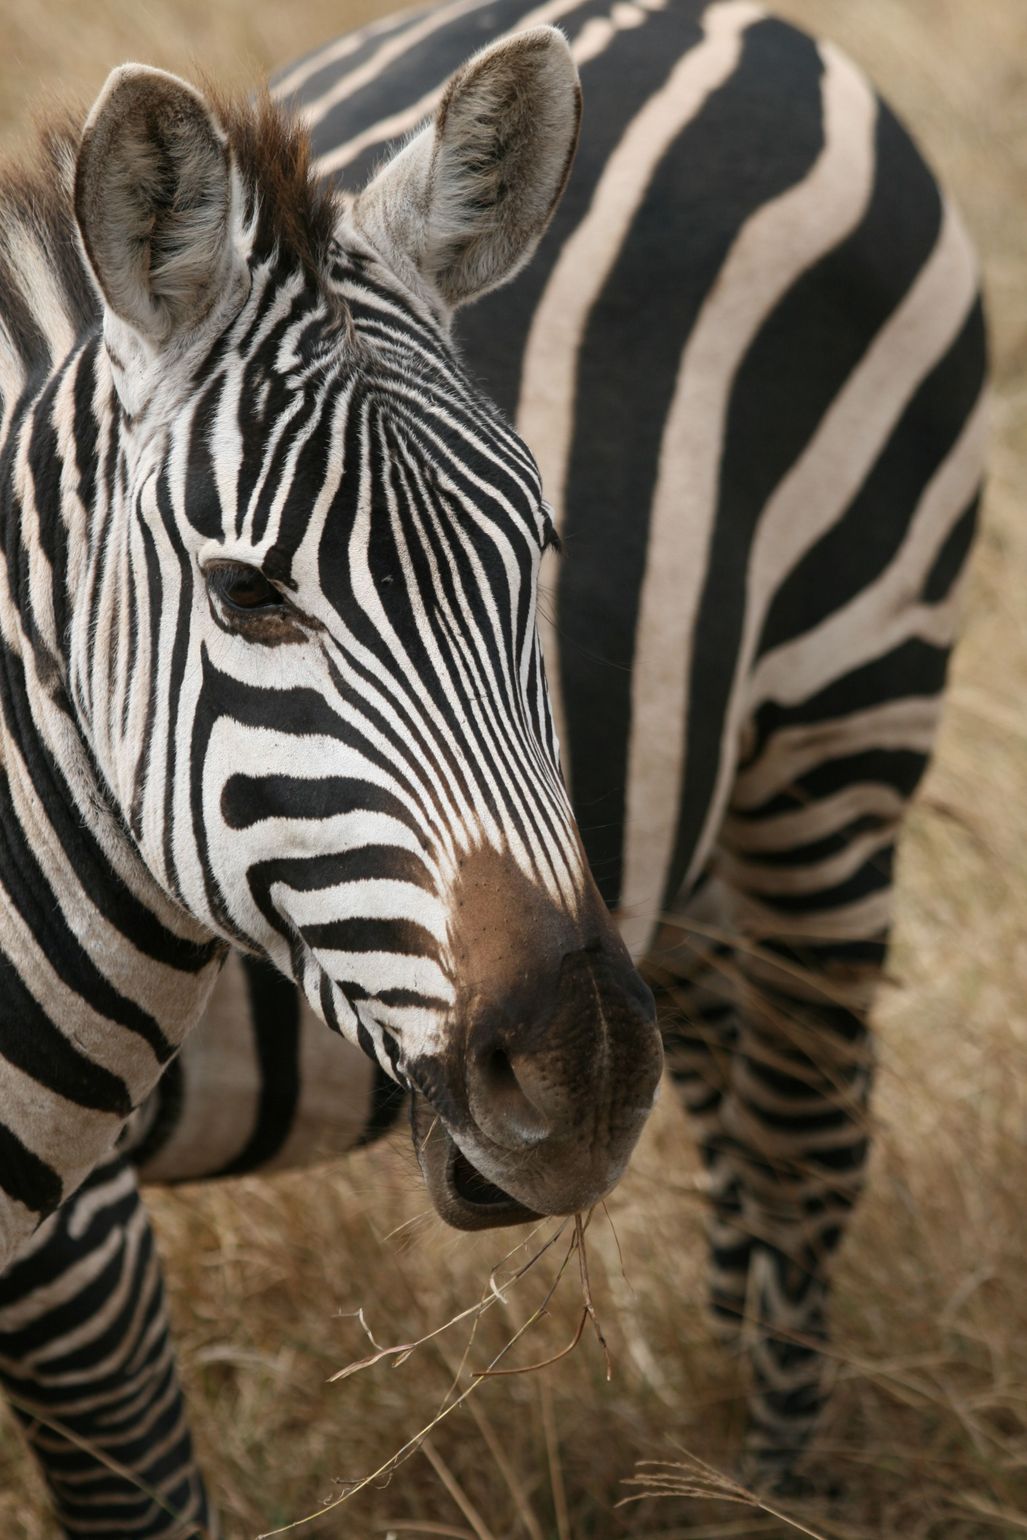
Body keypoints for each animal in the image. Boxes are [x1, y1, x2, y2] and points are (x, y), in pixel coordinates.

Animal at [0, 0, 986, 1533]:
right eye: (244, 593)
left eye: (540, 549)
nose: (581, 1069)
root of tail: (745, 24)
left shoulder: (79, 1234)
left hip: (840, 726)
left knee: (803, 1147)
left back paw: (780, 1482)